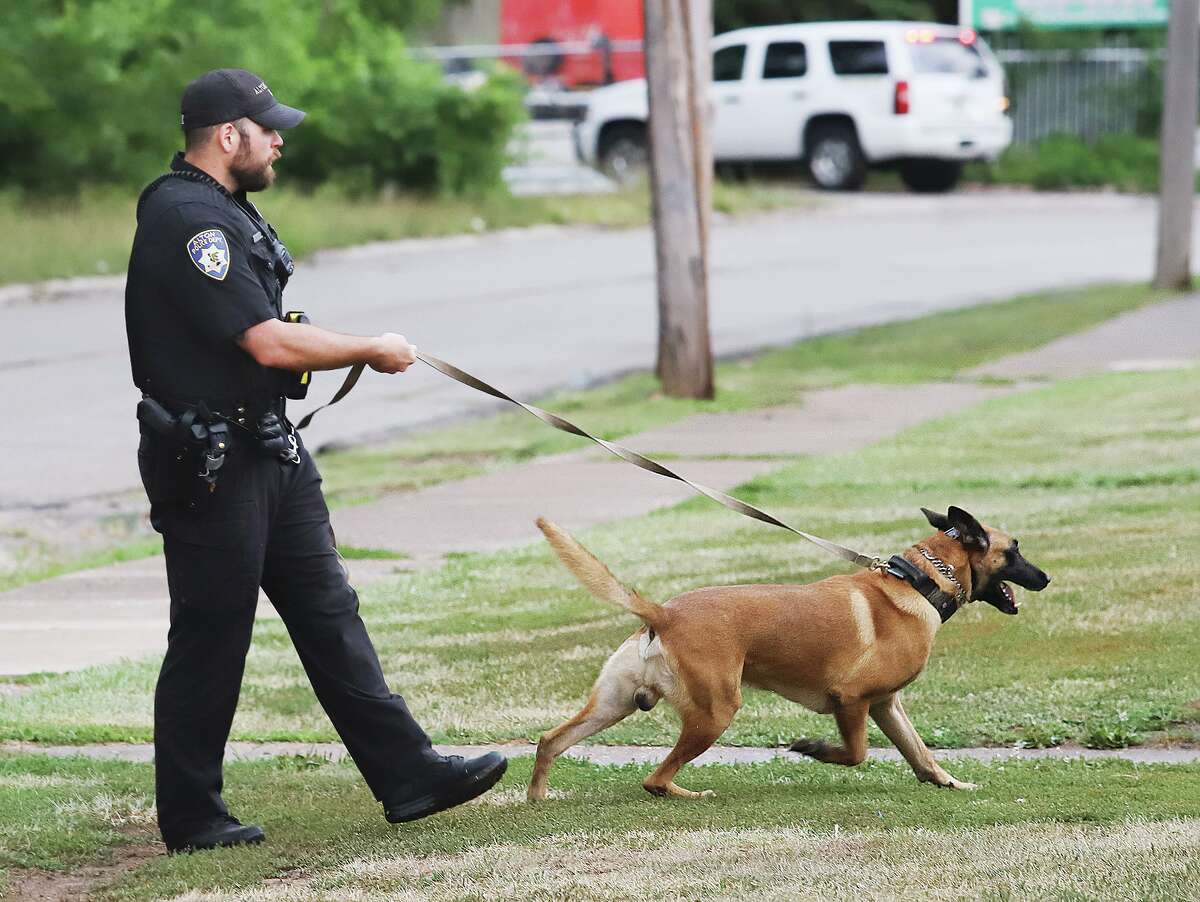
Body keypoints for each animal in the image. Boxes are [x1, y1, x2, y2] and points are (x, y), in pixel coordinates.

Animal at [530, 503, 1046, 801]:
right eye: (1015, 550)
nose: (1046, 578)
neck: (921, 582)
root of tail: (664, 613)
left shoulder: (885, 704)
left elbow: (921, 755)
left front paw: (950, 783)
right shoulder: (852, 700)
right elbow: (856, 754)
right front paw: (813, 748)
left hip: (614, 703)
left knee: (551, 740)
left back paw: (538, 797)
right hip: (716, 711)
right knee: (653, 780)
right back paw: (684, 792)